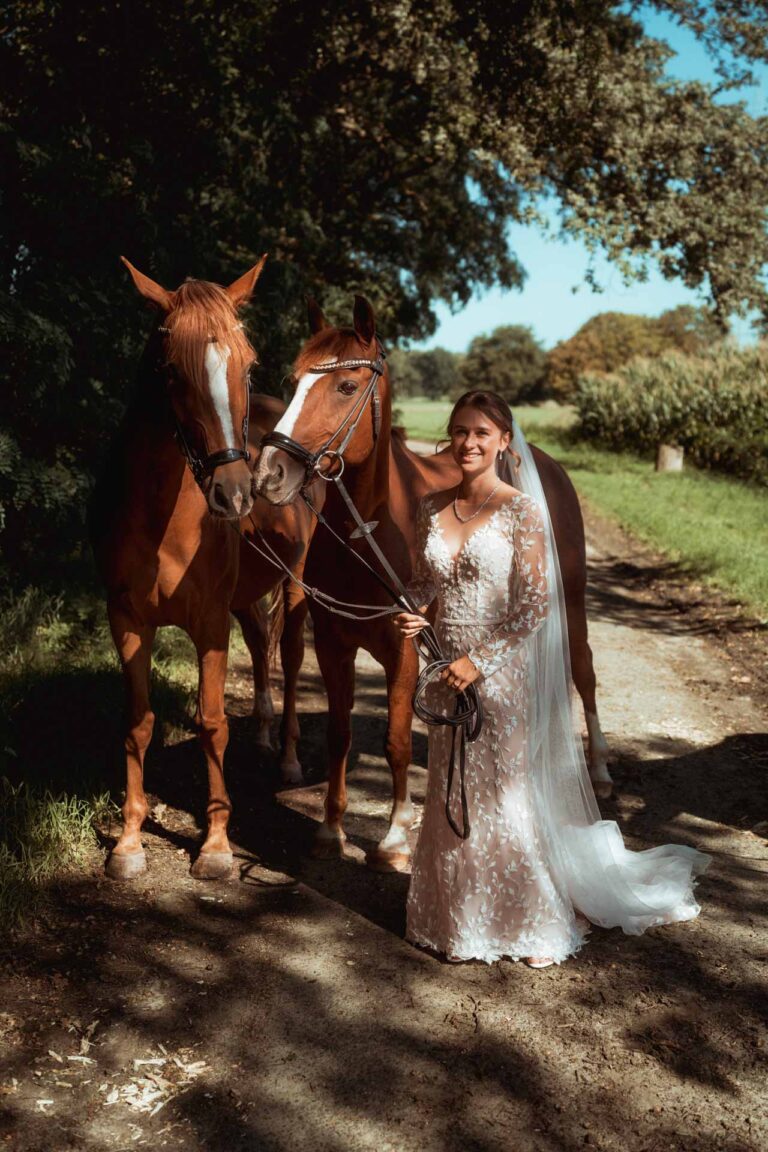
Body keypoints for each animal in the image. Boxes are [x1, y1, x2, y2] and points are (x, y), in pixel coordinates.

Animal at [89, 256, 315, 875]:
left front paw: (214, 845)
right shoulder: (127, 622)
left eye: (248, 365)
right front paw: (129, 841)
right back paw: (262, 734)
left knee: (289, 657)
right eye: (171, 370)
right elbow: (138, 724)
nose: (236, 493)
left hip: (296, 586)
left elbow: (212, 724)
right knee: (260, 643)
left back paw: (287, 757)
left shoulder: (210, 623)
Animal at [256, 297, 612, 870]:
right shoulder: (334, 644)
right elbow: (339, 736)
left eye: (346, 386)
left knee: (581, 668)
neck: (367, 532)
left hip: (571, 599)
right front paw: (331, 829)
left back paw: (597, 767)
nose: (270, 472)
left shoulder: (403, 649)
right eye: (292, 381)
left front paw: (396, 835)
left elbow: (397, 740)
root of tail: (542, 464)